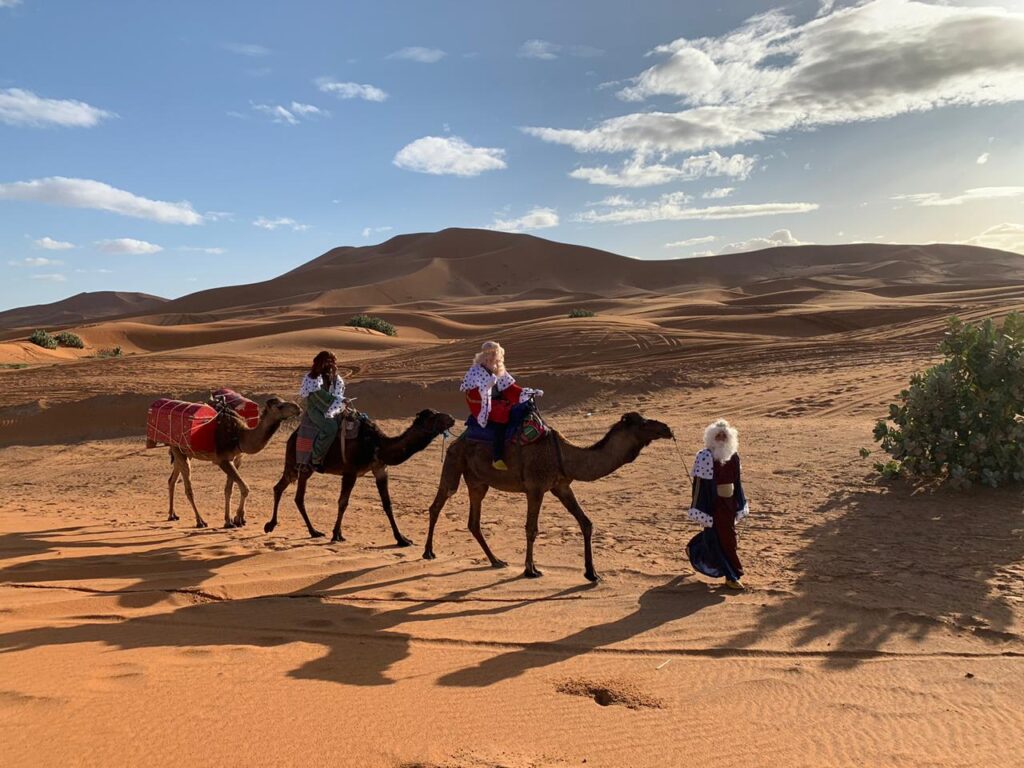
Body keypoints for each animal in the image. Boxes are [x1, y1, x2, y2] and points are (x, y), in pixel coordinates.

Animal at [167, 397, 299, 528]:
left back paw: (172, 515)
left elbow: (229, 490)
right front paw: (238, 518)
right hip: (177, 448)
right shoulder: (223, 460)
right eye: (280, 406)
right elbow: (245, 488)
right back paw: (200, 521)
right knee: (188, 489)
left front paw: (229, 520)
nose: (297, 407)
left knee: (172, 480)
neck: (239, 436)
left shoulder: (236, 459)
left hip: (185, 453)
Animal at [264, 409, 456, 548]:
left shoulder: (380, 469)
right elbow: (343, 502)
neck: (377, 445)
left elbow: (387, 504)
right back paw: (300, 529)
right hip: (299, 463)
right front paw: (336, 534)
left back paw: (297, 529)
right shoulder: (350, 471)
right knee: (293, 493)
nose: (452, 418)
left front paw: (402, 539)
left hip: (302, 468)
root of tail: (292, 436)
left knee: (286, 491)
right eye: (434, 416)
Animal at [421, 415, 671, 581]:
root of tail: (456, 440)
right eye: (644, 423)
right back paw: (428, 552)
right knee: (438, 504)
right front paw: (530, 570)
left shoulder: (561, 486)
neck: (566, 456)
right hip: (454, 463)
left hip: (478, 481)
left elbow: (586, 523)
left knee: (473, 521)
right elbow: (531, 528)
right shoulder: (536, 487)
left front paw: (592, 573)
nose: (667, 428)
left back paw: (496, 560)